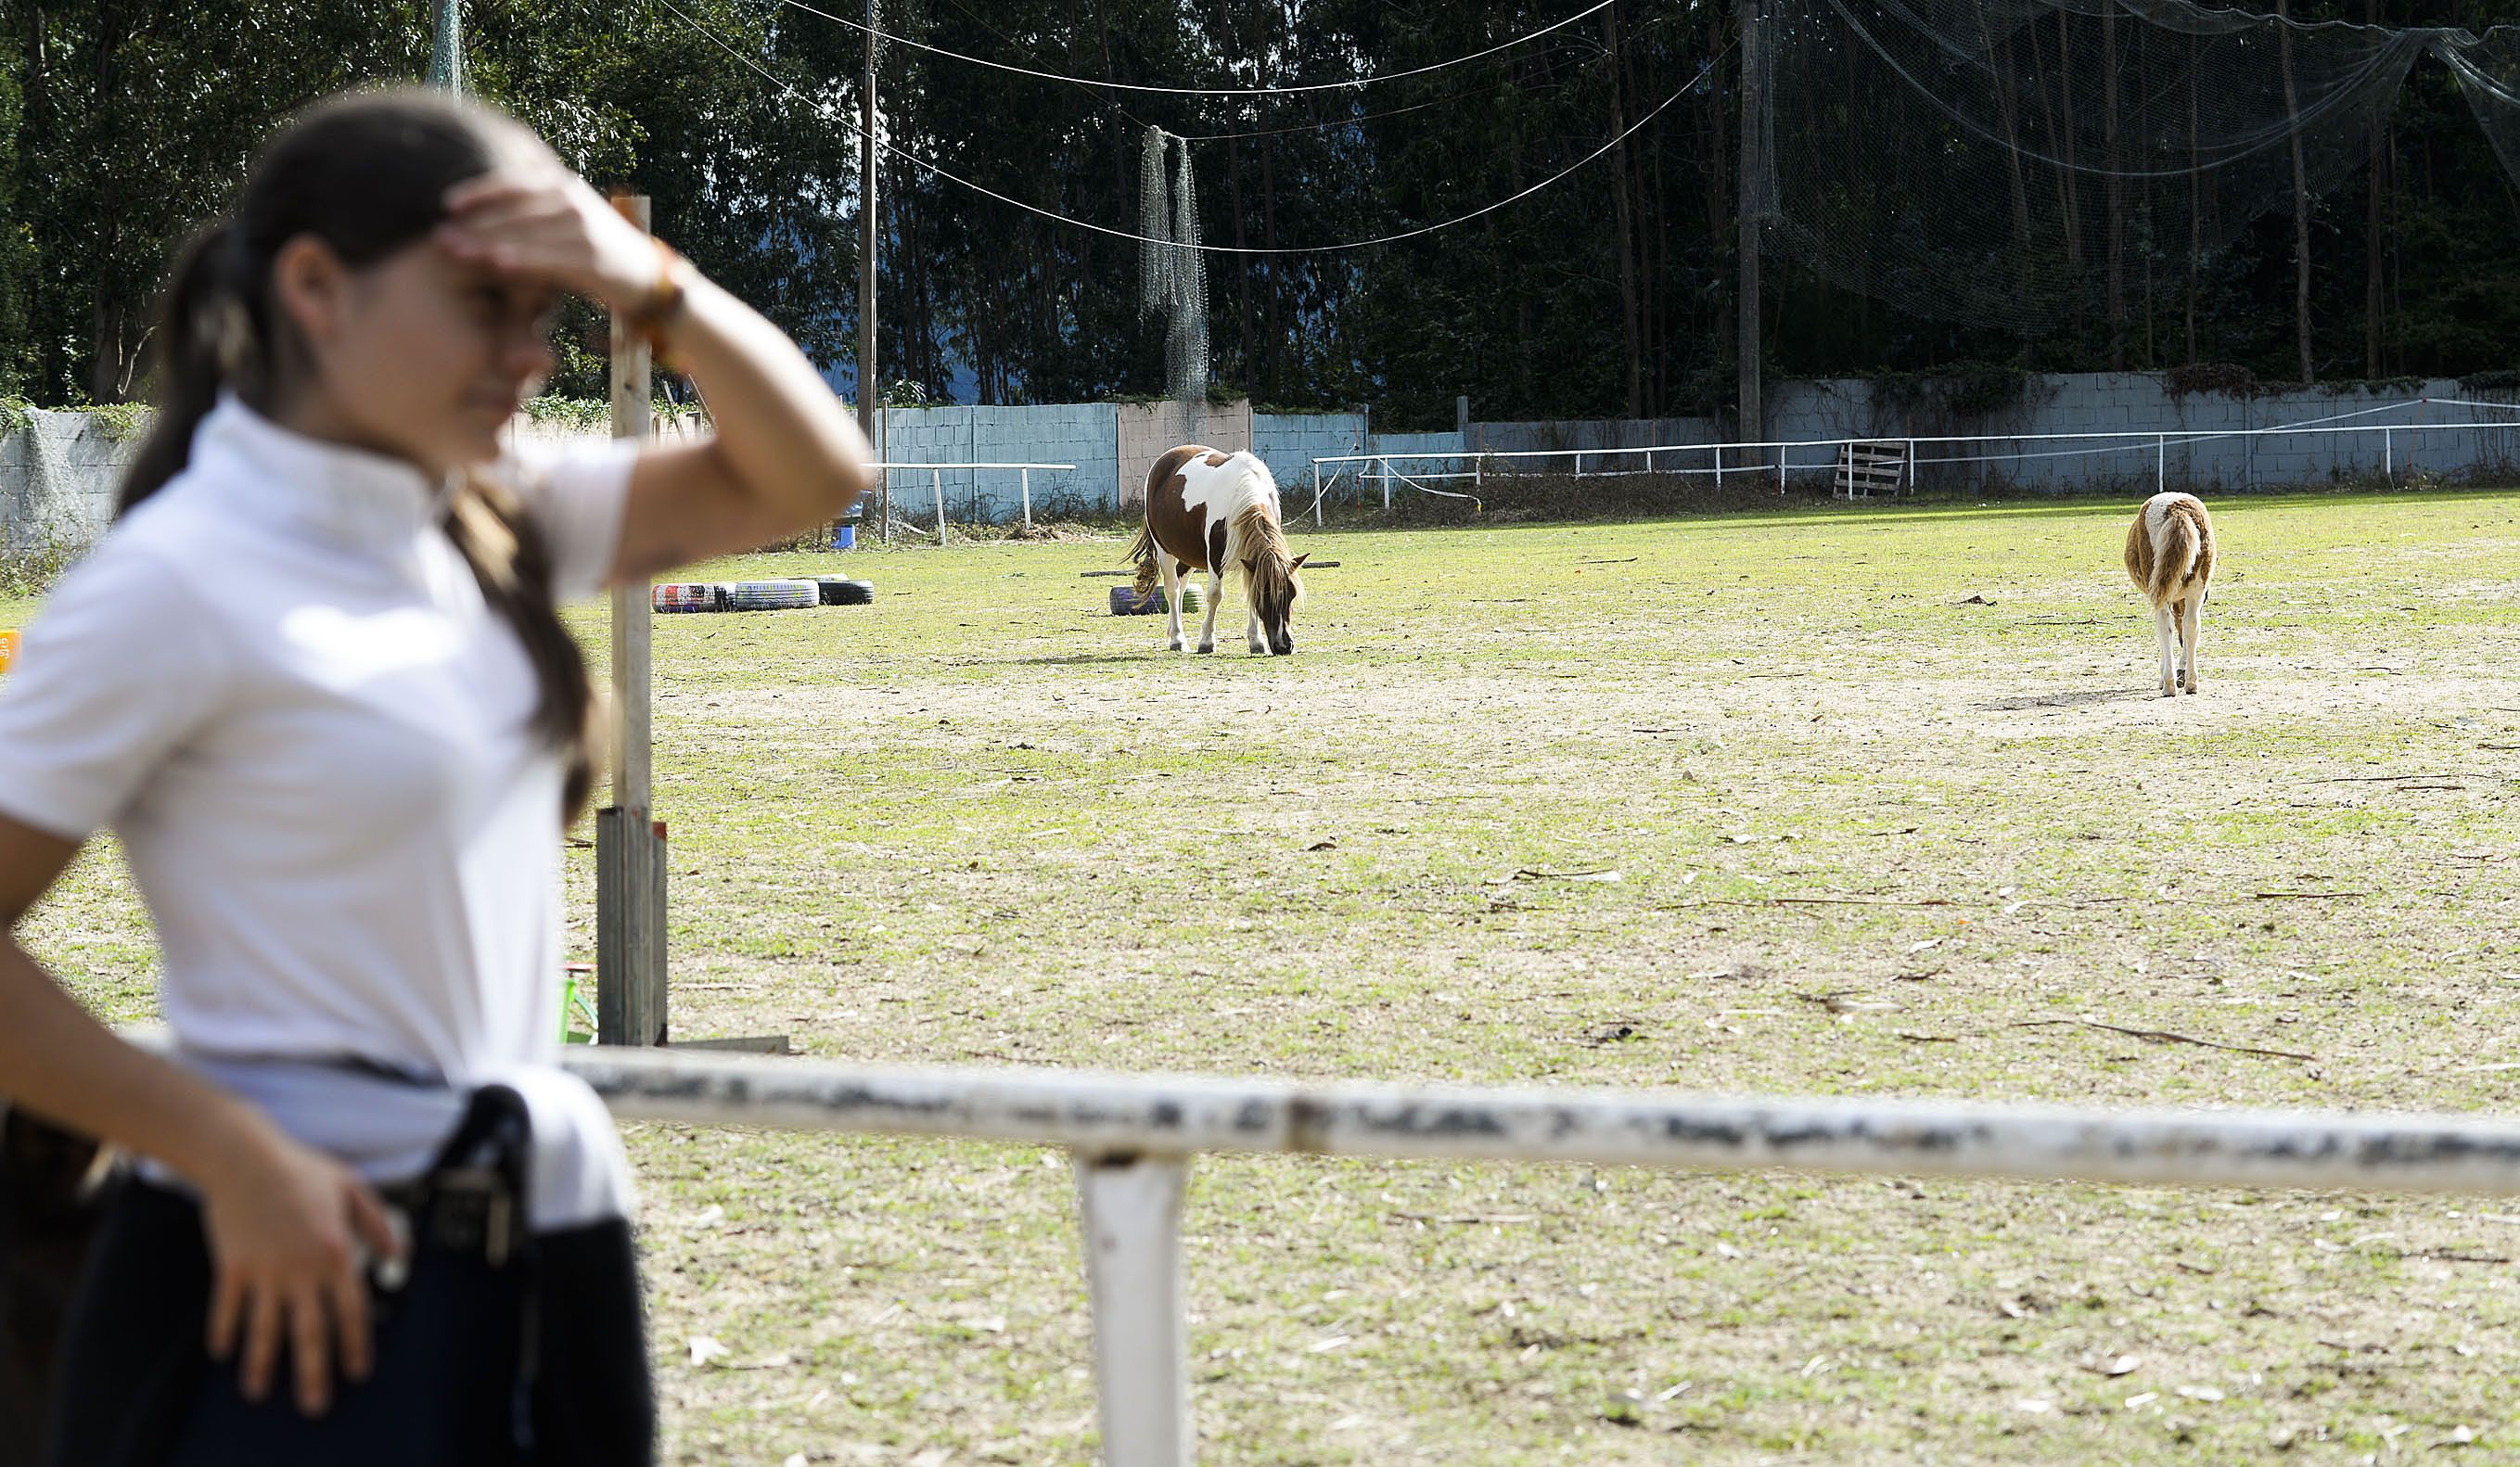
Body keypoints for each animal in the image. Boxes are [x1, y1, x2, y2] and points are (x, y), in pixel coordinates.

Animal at [1129, 446, 1310, 660]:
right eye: (1264, 595)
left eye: (1292, 594)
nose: (1284, 646)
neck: (1243, 492)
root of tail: (1163, 461)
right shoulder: (1215, 557)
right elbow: (1215, 595)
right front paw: (1207, 642)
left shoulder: (1250, 559)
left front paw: (1256, 642)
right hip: (1164, 550)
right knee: (1172, 590)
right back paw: (1177, 639)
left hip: (1189, 554)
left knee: (1181, 587)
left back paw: (1173, 631)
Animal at [2117, 493, 2217, 700]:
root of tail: (2178, 511)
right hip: (2196, 590)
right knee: (2191, 625)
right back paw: (2191, 683)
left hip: (2159, 591)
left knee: (2164, 626)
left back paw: (2169, 684)